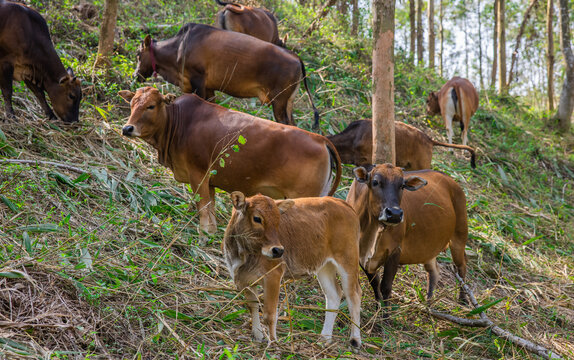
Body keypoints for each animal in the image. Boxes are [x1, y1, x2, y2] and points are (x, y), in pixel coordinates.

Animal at [118, 88, 342, 242]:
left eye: (151, 106)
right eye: (132, 104)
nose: (127, 128)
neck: (178, 124)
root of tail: (321, 139)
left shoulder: (198, 175)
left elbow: (203, 207)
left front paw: (204, 236)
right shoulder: (210, 181)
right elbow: (210, 209)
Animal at [133, 22, 320, 128]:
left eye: (138, 54)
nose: (136, 75)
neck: (179, 47)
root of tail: (296, 58)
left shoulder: (197, 81)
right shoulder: (208, 88)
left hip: (279, 103)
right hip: (287, 103)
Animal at [224, 193, 362, 348]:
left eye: (278, 220)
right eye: (257, 218)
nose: (278, 250)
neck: (243, 254)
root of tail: (344, 204)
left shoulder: (273, 276)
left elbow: (269, 314)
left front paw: (273, 342)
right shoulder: (244, 280)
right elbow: (253, 307)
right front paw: (258, 336)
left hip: (348, 262)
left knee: (354, 295)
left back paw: (355, 340)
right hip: (324, 266)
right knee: (334, 294)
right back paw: (324, 338)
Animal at [344, 165, 470, 310]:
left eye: (402, 185)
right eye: (375, 182)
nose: (394, 214)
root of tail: (451, 181)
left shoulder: (395, 251)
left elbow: (386, 287)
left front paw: (385, 313)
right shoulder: (359, 253)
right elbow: (375, 282)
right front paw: (378, 306)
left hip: (459, 235)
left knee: (462, 265)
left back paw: (463, 299)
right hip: (429, 249)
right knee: (434, 270)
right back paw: (428, 303)